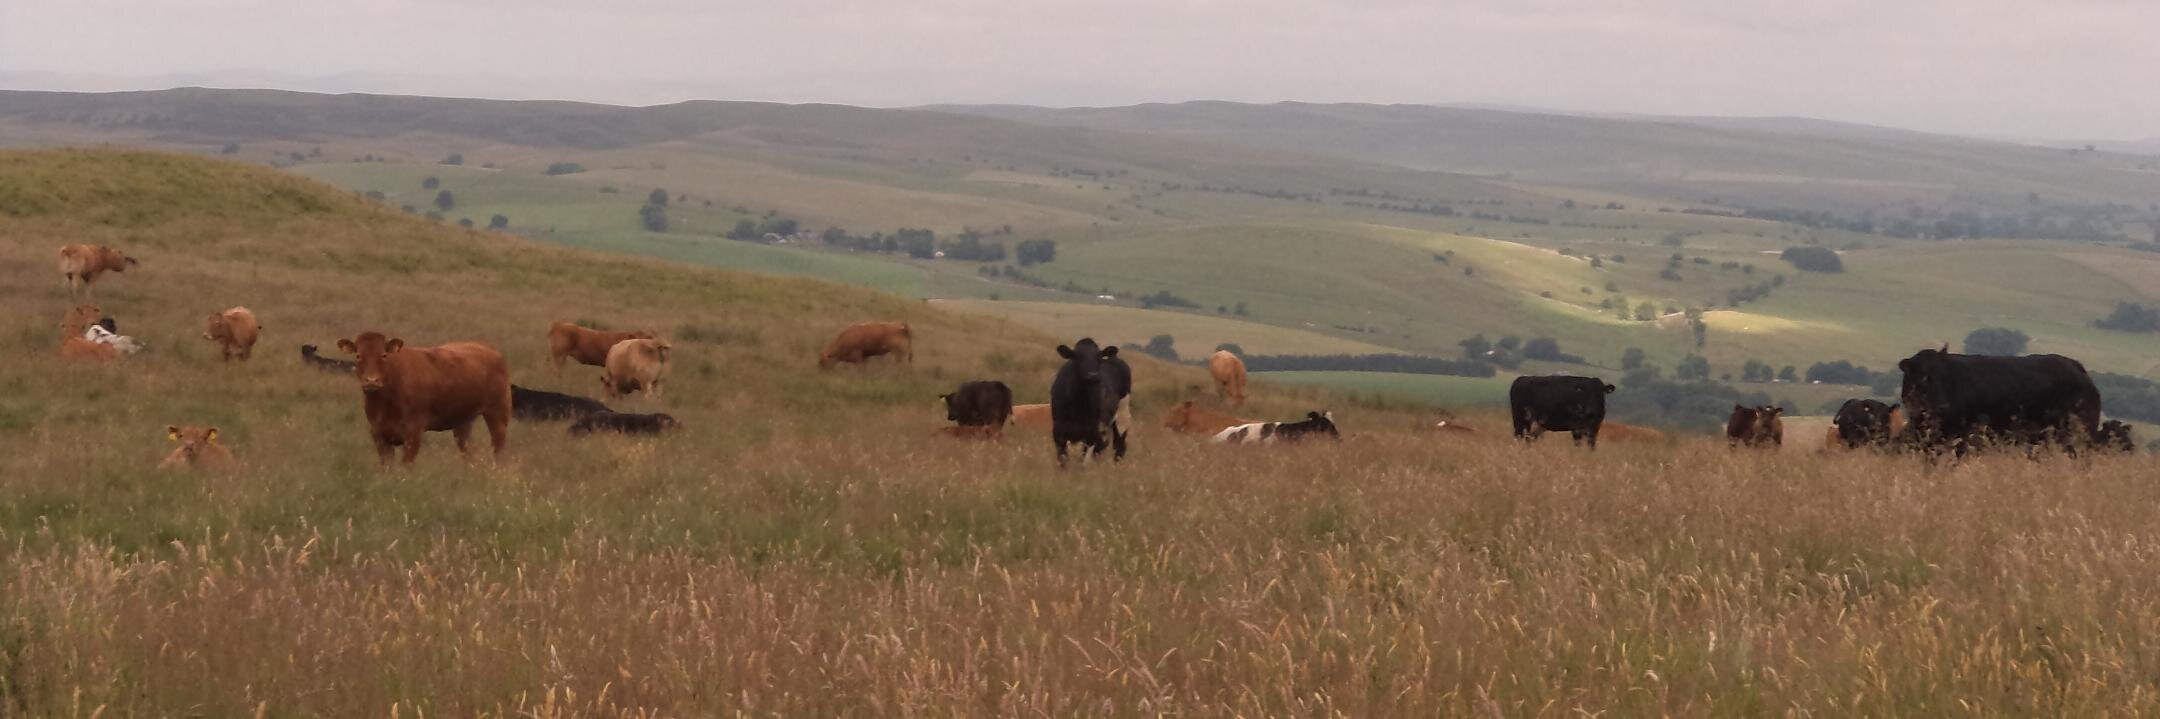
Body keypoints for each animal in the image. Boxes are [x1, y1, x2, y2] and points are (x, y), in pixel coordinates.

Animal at [337, 331, 512, 465]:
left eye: (384, 355)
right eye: (358, 355)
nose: (371, 381)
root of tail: (490, 350)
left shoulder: (413, 432)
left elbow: (407, 464)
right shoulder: (378, 434)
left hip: (498, 413)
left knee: (498, 447)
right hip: (462, 421)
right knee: (467, 450)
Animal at [1050, 337, 1132, 467]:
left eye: (1099, 357)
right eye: (1077, 356)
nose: (1093, 375)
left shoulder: (1092, 433)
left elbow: (1084, 461)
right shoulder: (1058, 431)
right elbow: (1063, 460)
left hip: (1122, 415)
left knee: (1119, 445)